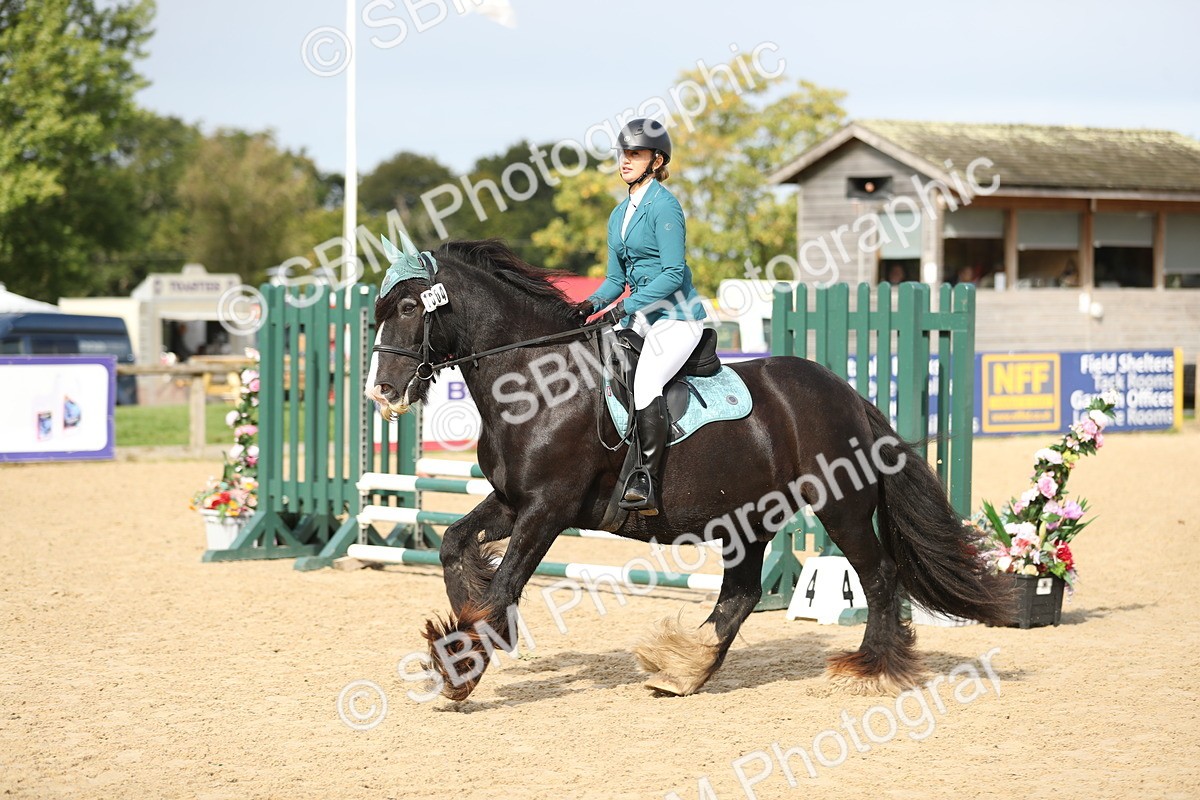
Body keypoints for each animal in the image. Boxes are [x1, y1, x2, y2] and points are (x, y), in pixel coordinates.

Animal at [367, 238, 1013, 701]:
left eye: (407, 307)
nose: (382, 392)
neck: (536, 382)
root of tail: (849, 394)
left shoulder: (547, 508)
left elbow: (505, 583)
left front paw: (466, 663)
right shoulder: (511, 500)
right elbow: (454, 544)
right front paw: (469, 631)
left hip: (840, 507)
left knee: (878, 577)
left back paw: (871, 667)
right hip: (751, 516)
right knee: (742, 594)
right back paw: (683, 670)